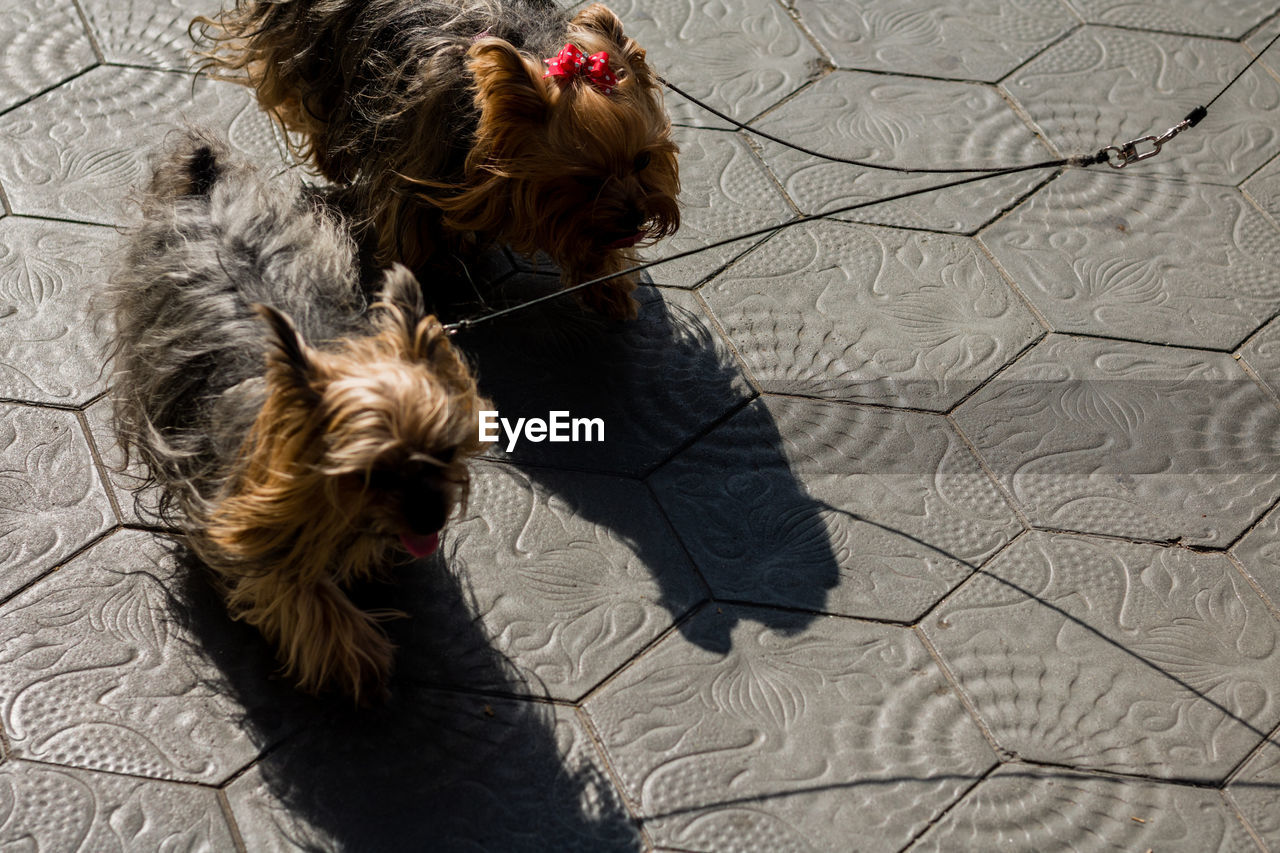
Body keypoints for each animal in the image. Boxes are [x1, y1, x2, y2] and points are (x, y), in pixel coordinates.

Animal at [197, 0, 680, 318]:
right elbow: (413, 230)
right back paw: (333, 159)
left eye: (642, 161)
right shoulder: (418, 156)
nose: (637, 218)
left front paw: (608, 289)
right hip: (313, 50)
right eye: (584, 179)